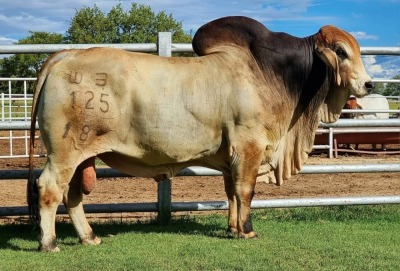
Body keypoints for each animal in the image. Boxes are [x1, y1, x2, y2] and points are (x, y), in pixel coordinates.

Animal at [27, 15, 372, 252]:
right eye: (341, 51)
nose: (368, 84)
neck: (270, 74)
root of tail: (66, 55)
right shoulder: (248, 147)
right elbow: (245, 191)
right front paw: (247, 230)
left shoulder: (231, 156)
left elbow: (231, 192)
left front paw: (232, 228)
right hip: (65, 152)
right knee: (49, 189)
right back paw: (50, 243)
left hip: (81, 156)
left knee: (72, 195)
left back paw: (89, 237)